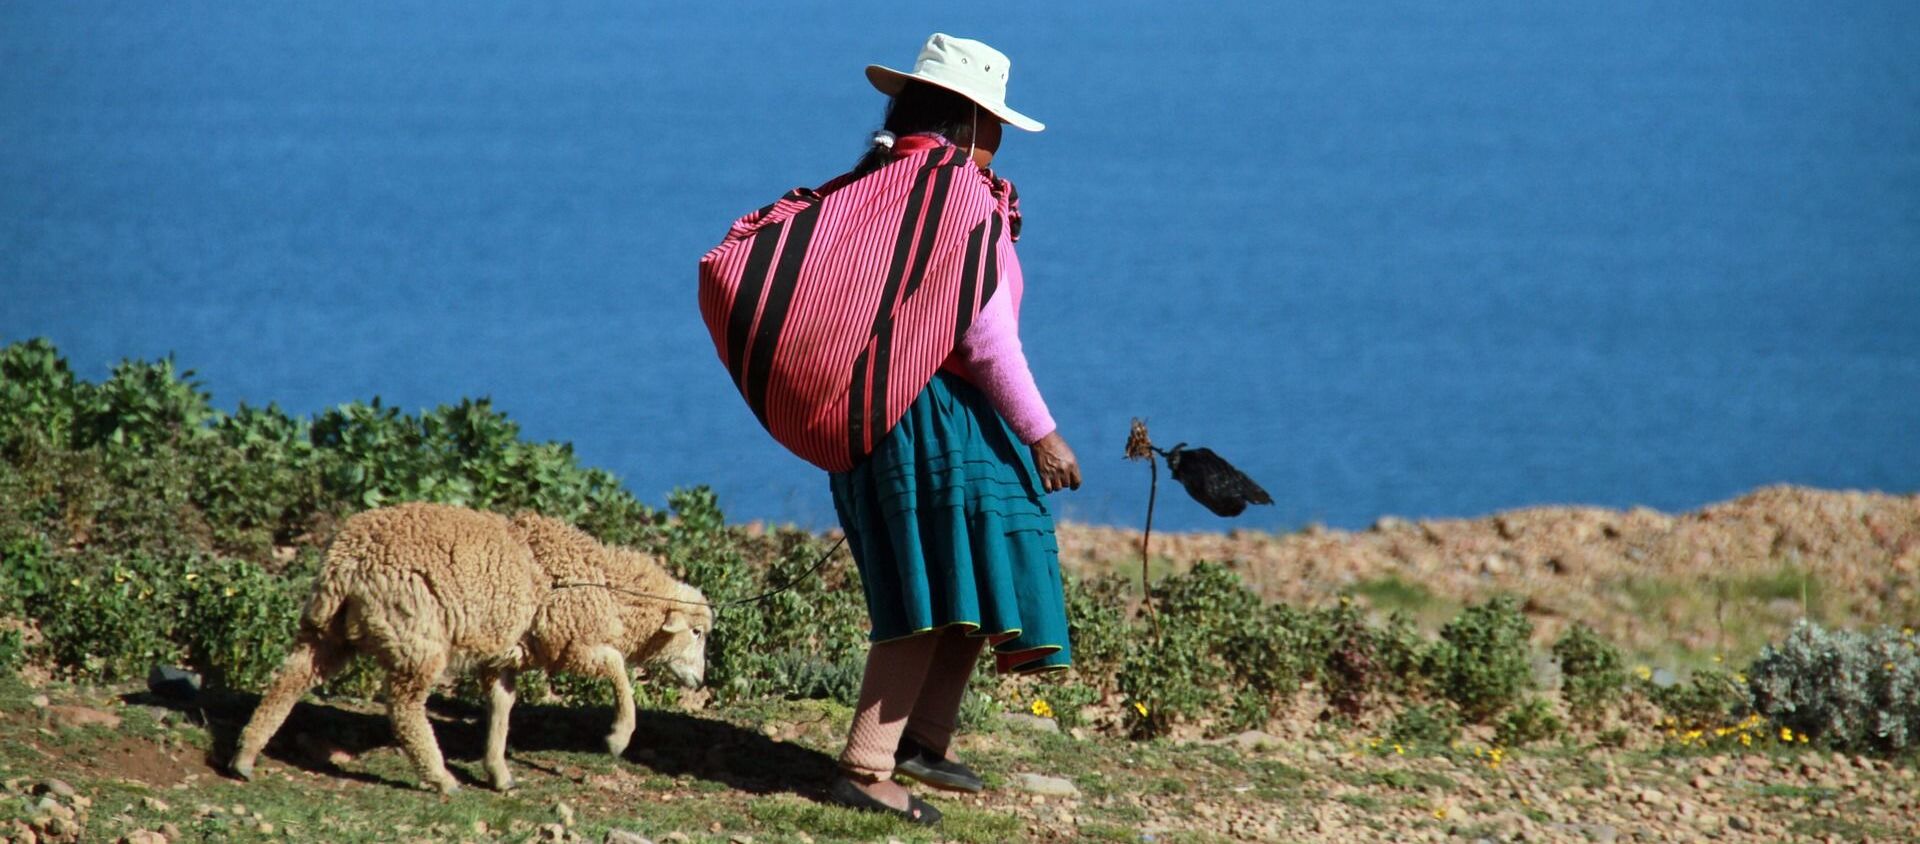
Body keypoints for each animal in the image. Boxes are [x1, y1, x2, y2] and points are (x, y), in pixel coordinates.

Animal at [230, 502, 714, 790]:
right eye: (697, 632)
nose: (700, 679)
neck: (607, 583)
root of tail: (346, 562)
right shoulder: (571, 641)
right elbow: (617, 669)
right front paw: (618, 736)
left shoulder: (505, 657)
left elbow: (502, 709)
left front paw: (498, 772)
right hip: (417, 638)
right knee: (404, 708)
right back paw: (440, 777)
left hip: (327, 630)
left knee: (291, 677)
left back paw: (245, 754)